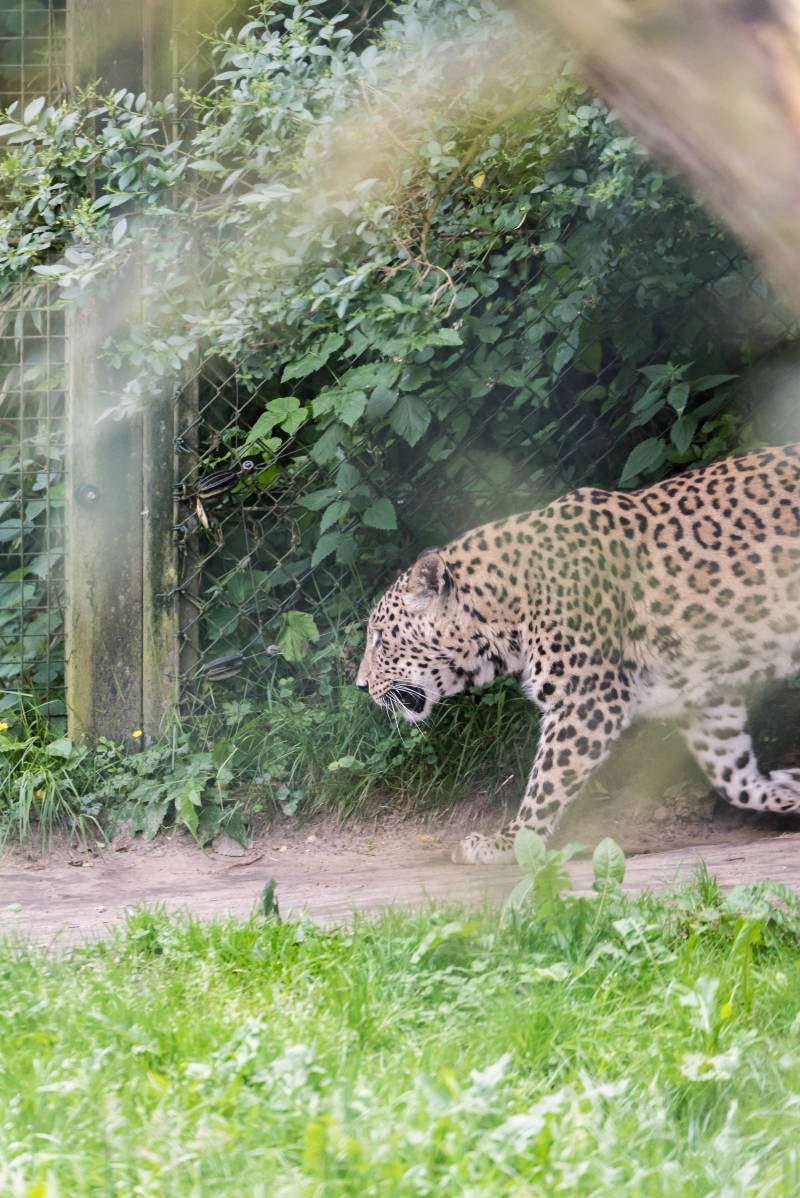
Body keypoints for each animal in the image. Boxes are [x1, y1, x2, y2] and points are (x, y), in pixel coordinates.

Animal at [357, 443, 800, 864]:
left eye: (379, 637)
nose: (361, 686)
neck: (505, 611)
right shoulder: (705, 698)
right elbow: (733, 775)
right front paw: (789, 790)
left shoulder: (587, 700)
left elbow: (547, 781)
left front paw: (507, 843)